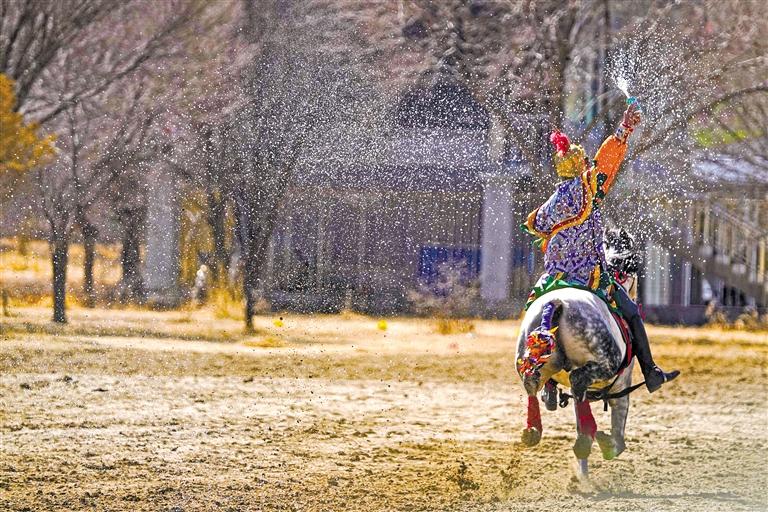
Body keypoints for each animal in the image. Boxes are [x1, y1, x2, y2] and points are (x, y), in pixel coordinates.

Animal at [515, 229, 641, 475]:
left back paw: (534, 430)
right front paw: (606, 443)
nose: (634, 295)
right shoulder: (621, 389)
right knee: (577, 378)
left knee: (533, 382)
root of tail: (557, 302)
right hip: (604, 365)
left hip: (533, 357)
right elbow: (618, 438)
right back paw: (586, 438)